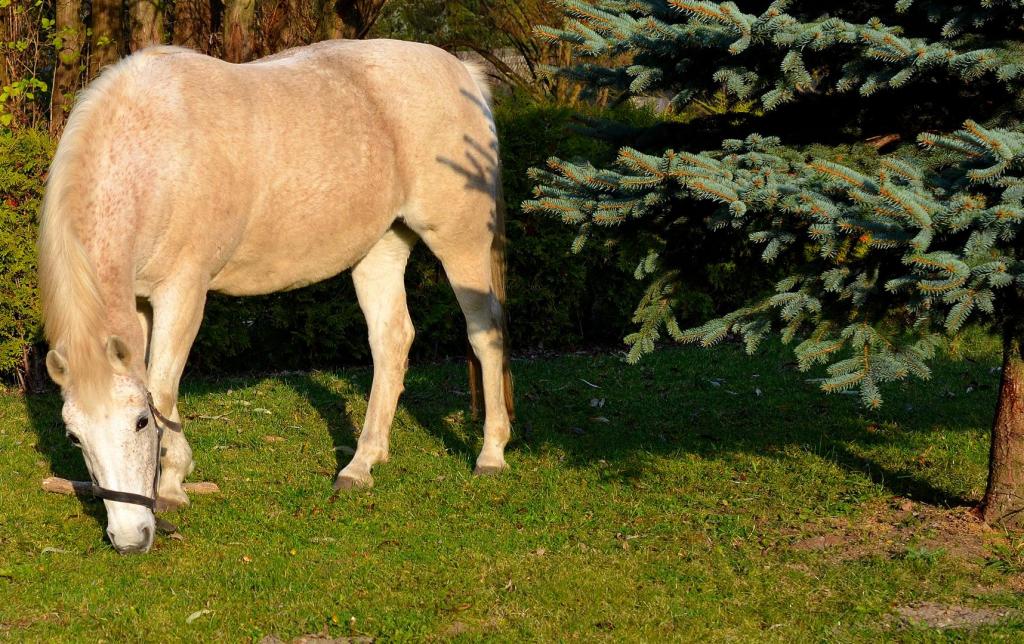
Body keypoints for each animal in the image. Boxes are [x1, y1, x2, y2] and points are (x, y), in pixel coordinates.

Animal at [38, 39, 514, 554]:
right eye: (73, 437)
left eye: (140, 423)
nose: (128, 538)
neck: (153, 157)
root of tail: (462, 73)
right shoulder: (140, 301)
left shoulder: (183, 291)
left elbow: (163, 387)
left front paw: (173, 485)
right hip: (381, 248)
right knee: (392, 341)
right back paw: (361, 465)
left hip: (460, 243)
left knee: (484, 333)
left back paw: (491, 455)